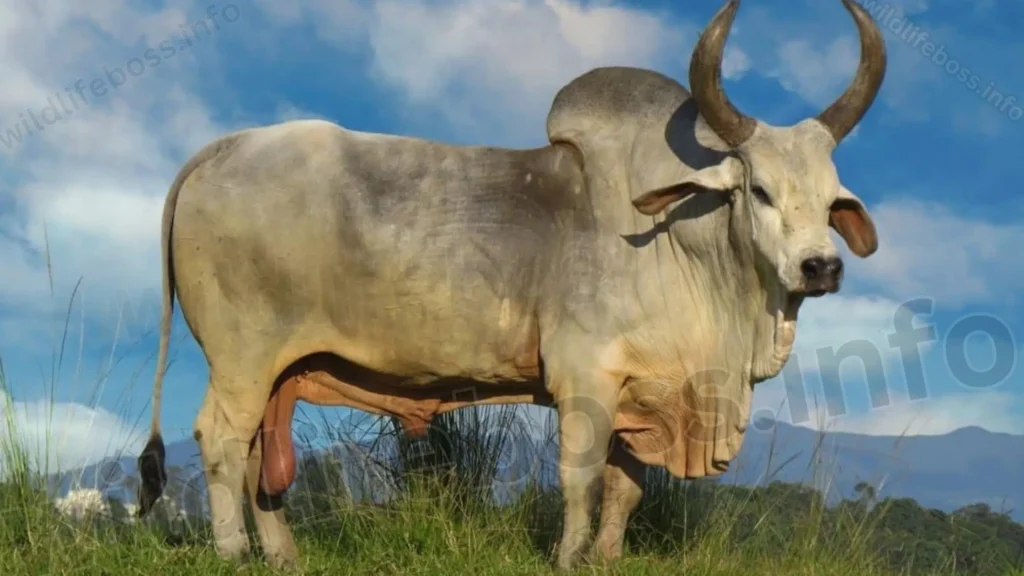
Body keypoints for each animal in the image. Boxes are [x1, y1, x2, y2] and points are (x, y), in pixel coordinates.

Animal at [138, 0, 888, 565]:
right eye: (758, 190)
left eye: (833, 201)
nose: (821, 267)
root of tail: (222, 148)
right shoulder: (584, 378)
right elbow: (580, 481)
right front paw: (568, 559)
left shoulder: (643, 392)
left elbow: (625, 491)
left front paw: (605, 558)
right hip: (241, 356)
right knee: (221, 442)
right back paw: (235, 552)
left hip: (276, 372)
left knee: (259, 457)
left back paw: (283, 555)